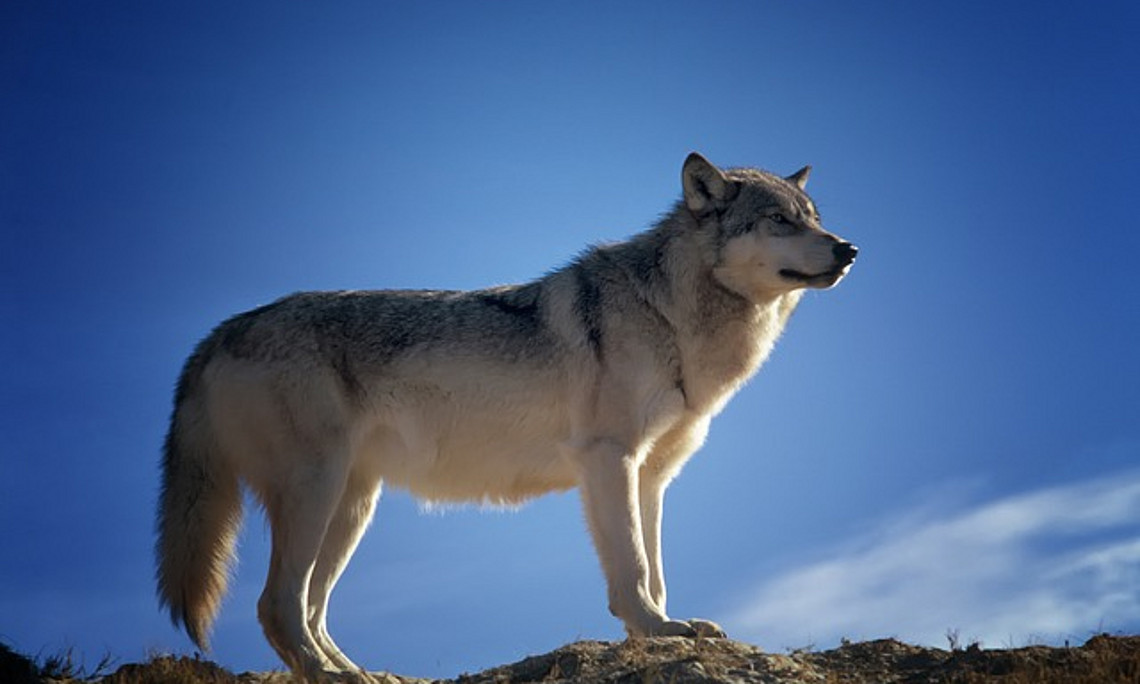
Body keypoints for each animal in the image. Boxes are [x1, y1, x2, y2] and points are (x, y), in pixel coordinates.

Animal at [156, 153, 857, 682]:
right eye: (778, 221)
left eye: (814, 219)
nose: (848, 249)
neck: (670, 315)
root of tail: (217, 333)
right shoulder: (609, 460)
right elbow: (632, 569)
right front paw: (655, 630)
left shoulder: (652, 476)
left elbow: (656, 570)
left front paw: (663, 631)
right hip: (316, 493)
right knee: (278, 605)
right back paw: (331, 676)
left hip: (353, 507)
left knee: (310, 609)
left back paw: (360, 673)